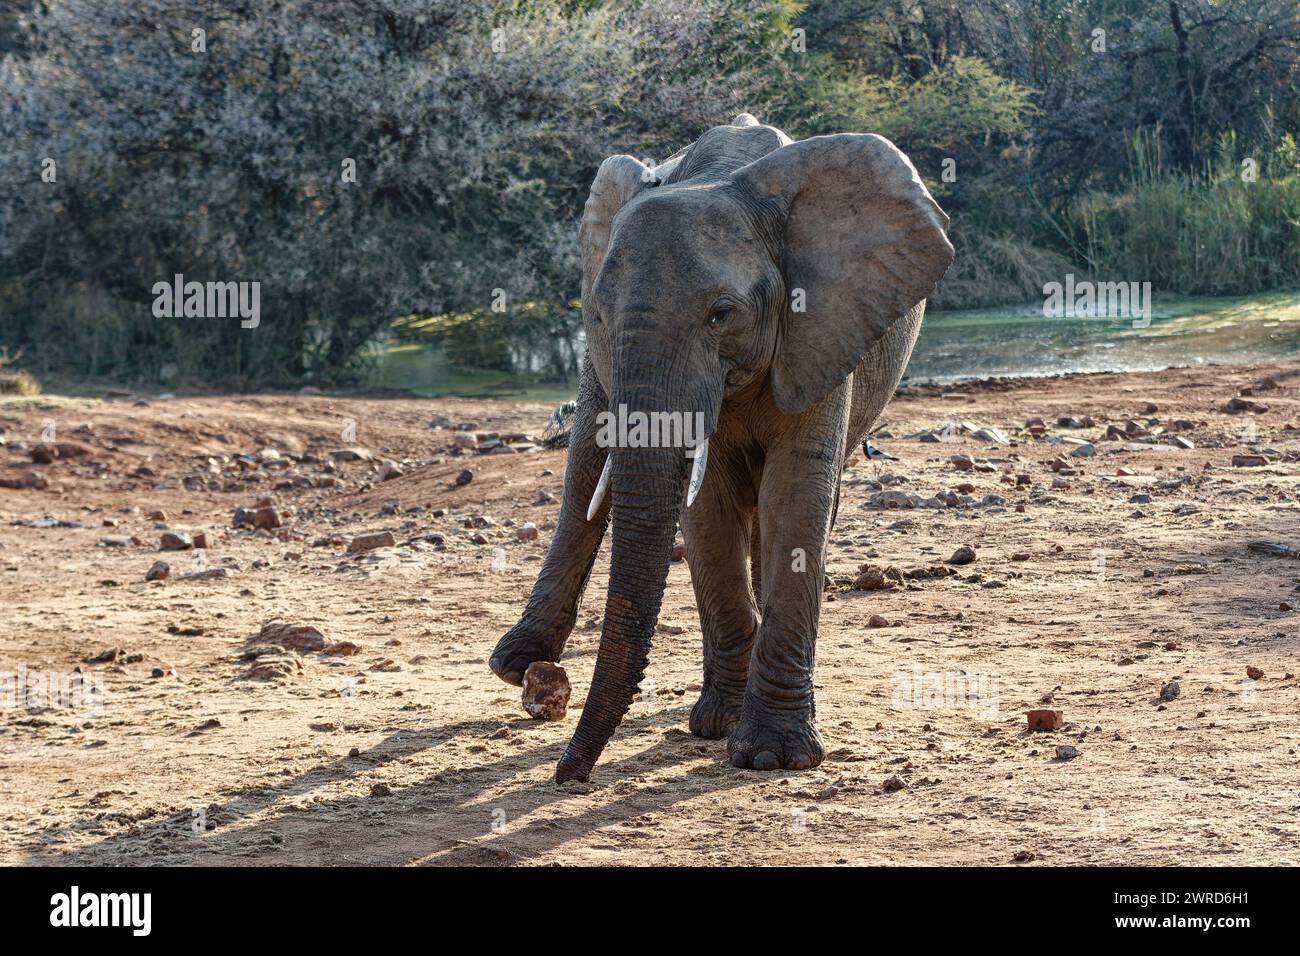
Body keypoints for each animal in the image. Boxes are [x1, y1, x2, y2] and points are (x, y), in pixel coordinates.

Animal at [489, 113, 954, 783]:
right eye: (597, 314)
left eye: (721, 313)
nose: (569, 776)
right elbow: (705, 504)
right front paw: (720, 727)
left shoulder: (821, 326)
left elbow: (795, 494)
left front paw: (772, 756)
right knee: (584, 470)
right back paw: (519, 665)